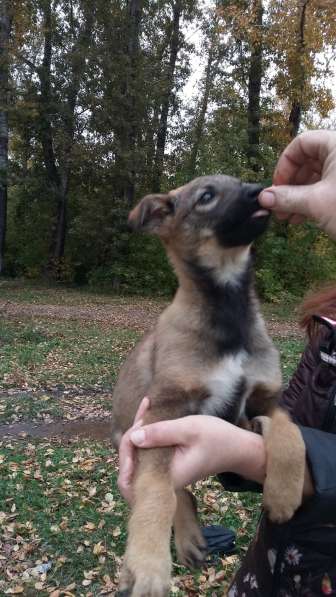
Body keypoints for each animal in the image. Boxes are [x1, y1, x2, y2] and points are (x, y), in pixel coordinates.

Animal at [111, 175, 306, 596]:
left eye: (241, 182)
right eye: (206, 197)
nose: (260, 189)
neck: (229, 311)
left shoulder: (266, 397)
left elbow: (291, 434)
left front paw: (285, 493)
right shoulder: (162, 413)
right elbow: (156, 491)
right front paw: (148, 564)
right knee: (177, 490)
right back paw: (185, 539)